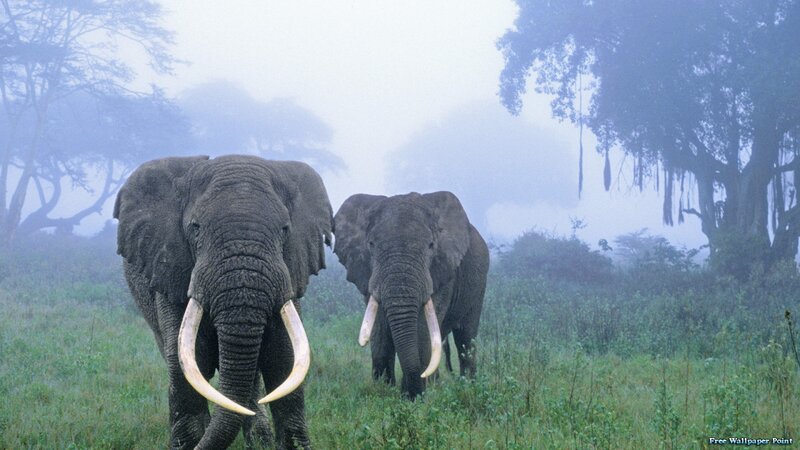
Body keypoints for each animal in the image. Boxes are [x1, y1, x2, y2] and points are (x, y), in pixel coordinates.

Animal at [114, 155, 333, 449]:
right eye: (195, 228)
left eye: (285, 230)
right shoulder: (172, 270)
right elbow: (188, 359)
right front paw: (188, 444)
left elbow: (285, 357)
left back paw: (258, 439)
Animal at [333, 191, 489, 399]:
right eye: (371, 244)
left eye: (431, 245)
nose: (411, 393)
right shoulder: (367, 274)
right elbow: (380, 330)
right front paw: (383, 393)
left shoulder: (442, 271)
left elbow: (422, 330)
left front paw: (413, 399)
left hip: (478, 284)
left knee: (465, 338)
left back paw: (467, 387)